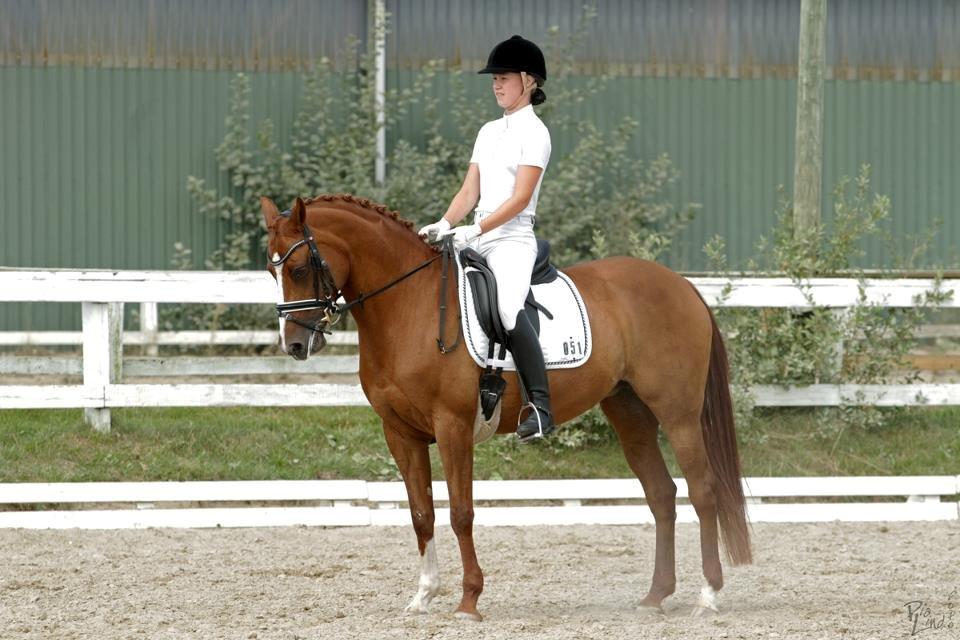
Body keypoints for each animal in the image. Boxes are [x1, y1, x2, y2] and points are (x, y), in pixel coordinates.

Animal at [261, 193, 752, 621]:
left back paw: (707, 596)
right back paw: (655, 597)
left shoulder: (453, 427)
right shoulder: (400, 433)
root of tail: (681, 284)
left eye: (300, 269)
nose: (295, 345)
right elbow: (421, 514)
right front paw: (423, 597)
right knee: (662, 495)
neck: (407, 306)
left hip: (678, 413)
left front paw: (468, 601)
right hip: (628, 411)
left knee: (703, 491)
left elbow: (461, 513)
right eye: (271, 269)